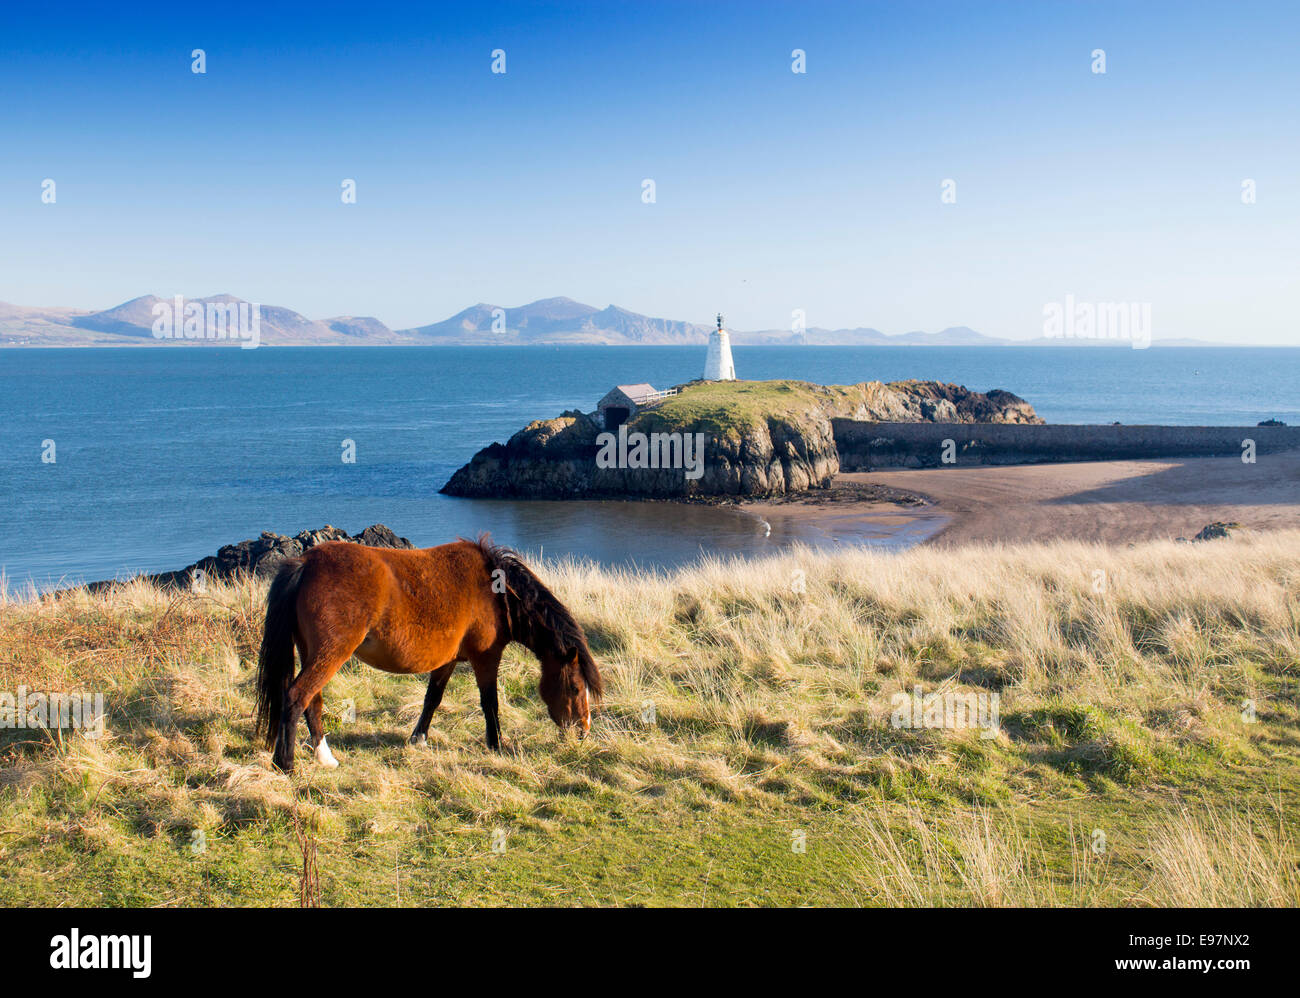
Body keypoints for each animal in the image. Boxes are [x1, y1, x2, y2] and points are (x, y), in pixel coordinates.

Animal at [254, 535, 603, 774]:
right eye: (575, 688)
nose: (583, 731)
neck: (496, 591)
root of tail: (305, 564)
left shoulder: (446, 662)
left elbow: (432, 699)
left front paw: (418, 738)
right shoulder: (486, 659)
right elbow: (489, 702)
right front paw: (495, 744)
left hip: (313, 653)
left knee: (312, 701)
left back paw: (324, 757)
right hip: (331, 653)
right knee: (296, 696)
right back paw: (285, 764)